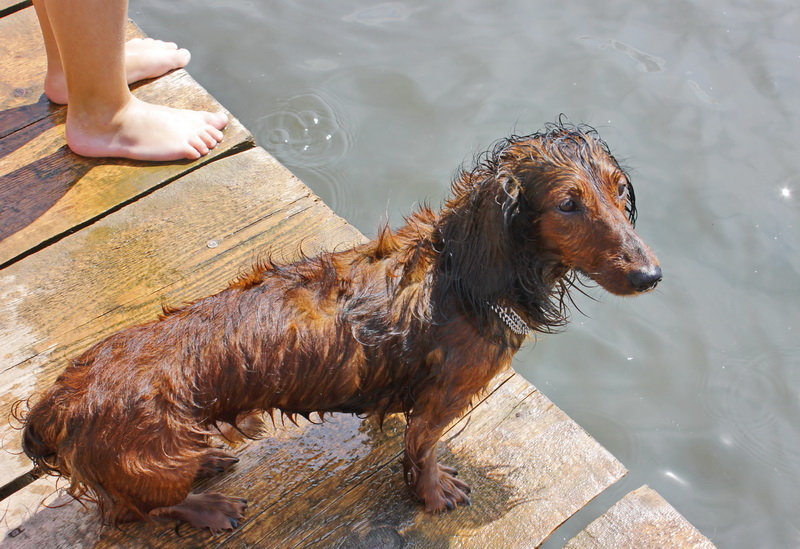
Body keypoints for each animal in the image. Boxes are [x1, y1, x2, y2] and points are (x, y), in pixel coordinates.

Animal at [20, 123, 664, 532]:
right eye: (567, 204)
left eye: (617, 191)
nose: (651, 275)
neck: (462, 273)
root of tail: (54, 405)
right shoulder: (443, 398)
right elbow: (423, 450)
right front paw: (436, 493)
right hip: (157, 462)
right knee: (133, 510)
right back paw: (209, 506)